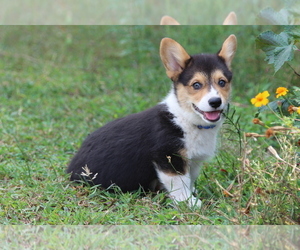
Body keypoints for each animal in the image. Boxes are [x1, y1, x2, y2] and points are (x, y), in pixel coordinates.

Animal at [67, 34, 237, 208]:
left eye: (222, 82)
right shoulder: (168, 157)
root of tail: (71, 168)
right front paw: (188, 202)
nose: (215, 102)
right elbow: (179, 182)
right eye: (196, 85)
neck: (185, 119)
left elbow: (189, 179)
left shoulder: (193, 161)